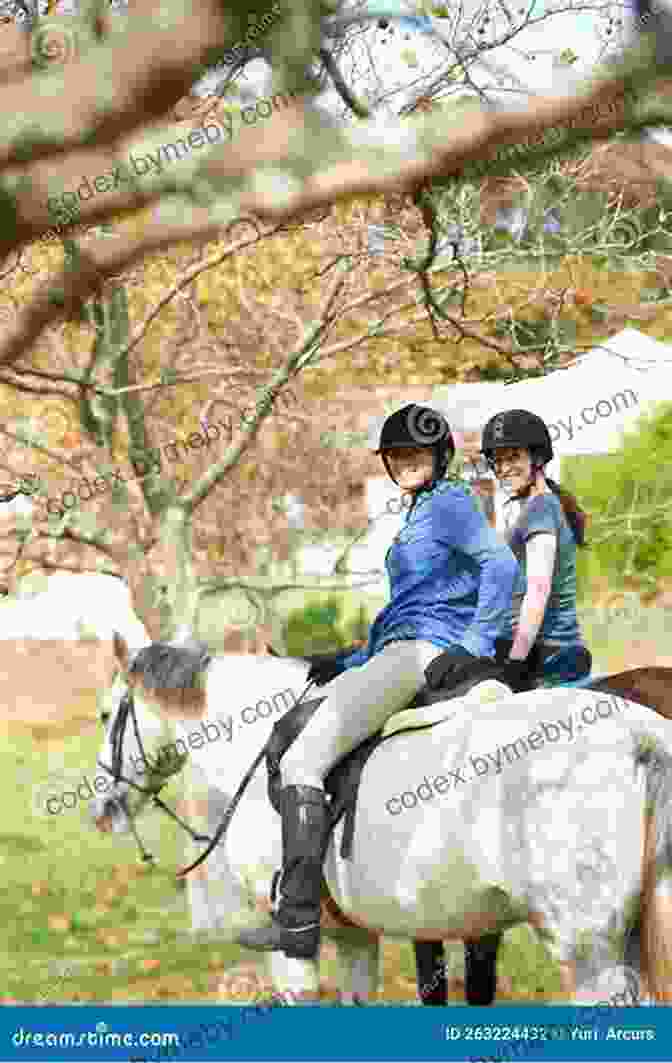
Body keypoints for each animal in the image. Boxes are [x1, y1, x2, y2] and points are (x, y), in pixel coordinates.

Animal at [90, 629, 672, 1003]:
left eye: (104, 715)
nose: (101, 811)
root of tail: (643, 734)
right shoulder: (354, 939)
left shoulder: (296, 950)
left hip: (587, 953)